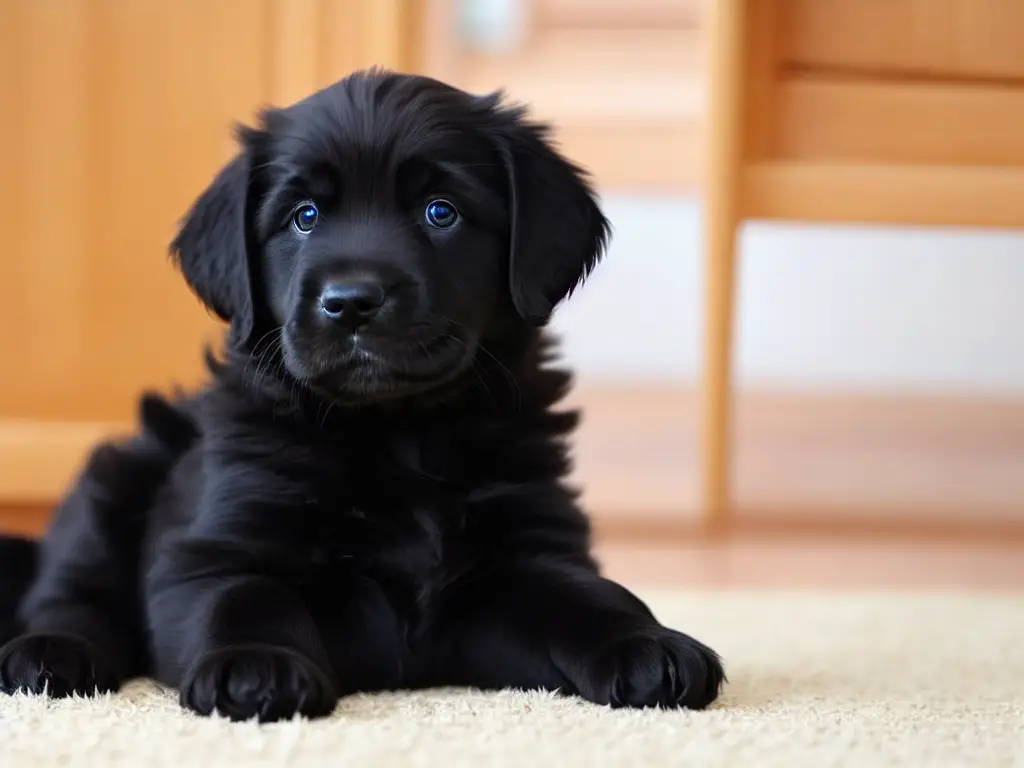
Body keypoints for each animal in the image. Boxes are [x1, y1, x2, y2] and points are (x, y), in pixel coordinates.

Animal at [0, 70, 720, 720]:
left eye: (440, 211)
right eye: (303, 217)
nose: (350, 302)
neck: (393, 433)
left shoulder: (522, 555)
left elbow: (588, 596)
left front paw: (648, 644)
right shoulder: (212, 550)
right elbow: (246, 598)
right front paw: (257, 665)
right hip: (115, 475)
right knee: (69, 591)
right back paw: (48, 653)